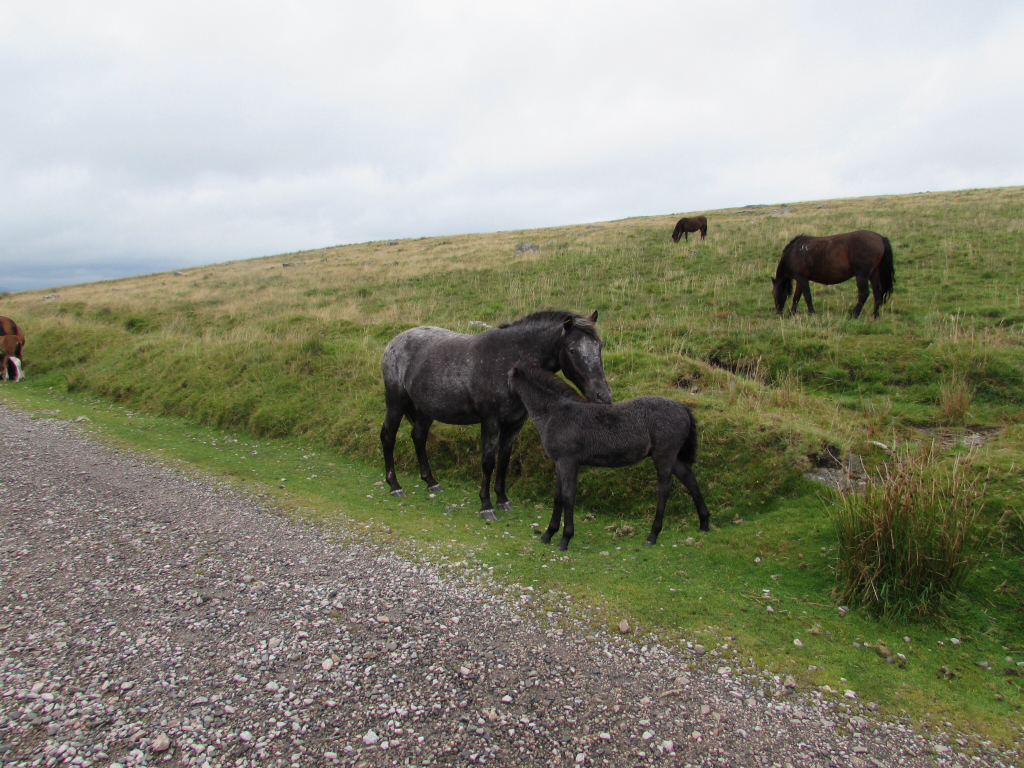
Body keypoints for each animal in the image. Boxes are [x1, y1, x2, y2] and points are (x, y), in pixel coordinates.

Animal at [505, 362, 712, 548]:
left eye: (507, 378)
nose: (502, 400)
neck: (555, 412)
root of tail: (682, 408)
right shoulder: (559, 462)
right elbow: (557, 496)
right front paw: (548, 534)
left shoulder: (568, 461)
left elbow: (567, 496)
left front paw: (565, 539)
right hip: (672, 457)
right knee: (689, 478)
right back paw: (704, 524)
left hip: (664, 455)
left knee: (664, 488)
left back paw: (652, 536)